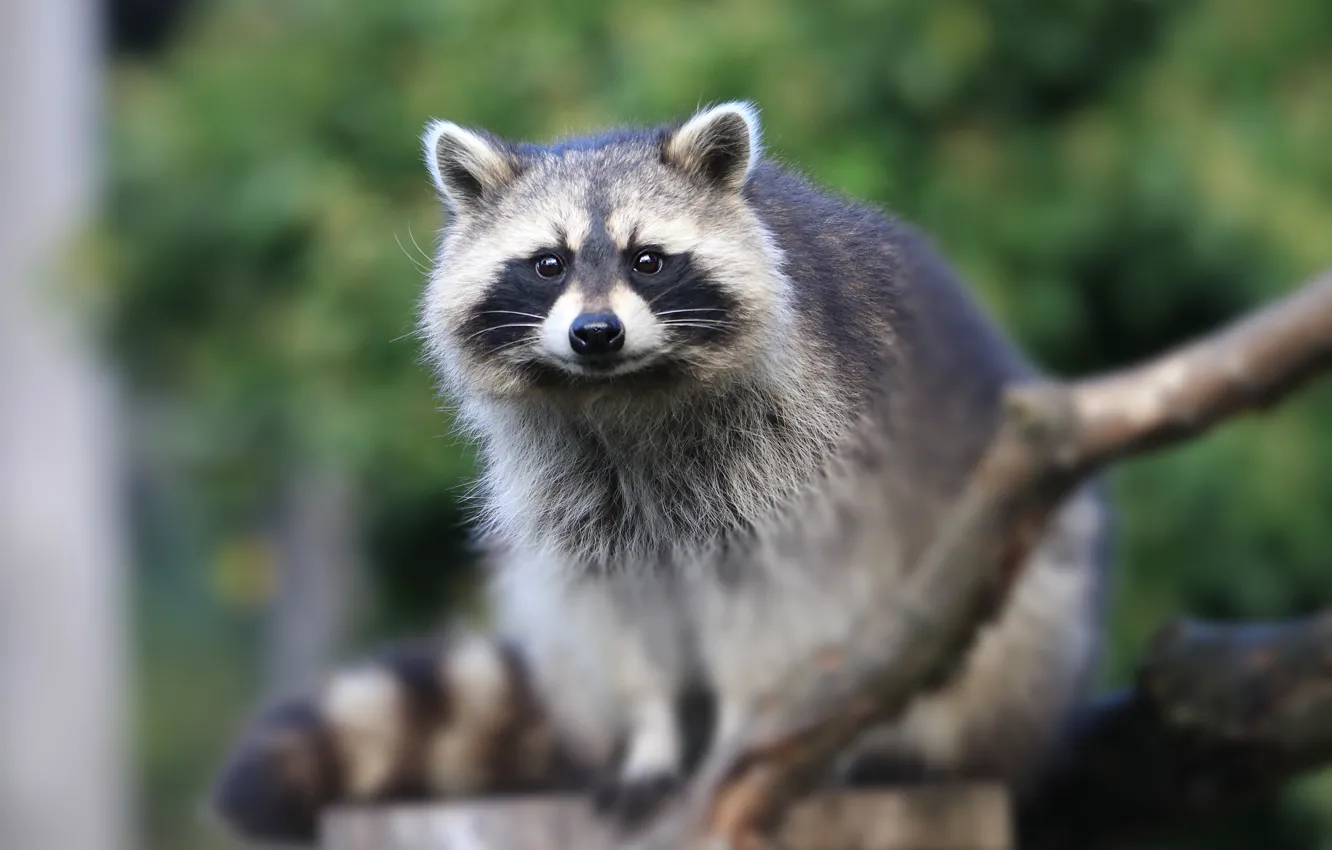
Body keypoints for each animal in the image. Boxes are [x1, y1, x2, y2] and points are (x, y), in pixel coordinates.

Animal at [214, 102, 1112, 844]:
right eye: (547, 264)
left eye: (648, 260)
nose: (596, 333)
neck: (623, 391)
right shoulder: (580, 502)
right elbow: (621, 621)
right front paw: (650, 742)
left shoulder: (800, 470)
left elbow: (773, 619)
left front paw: (733, 746)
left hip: (1011, 594)